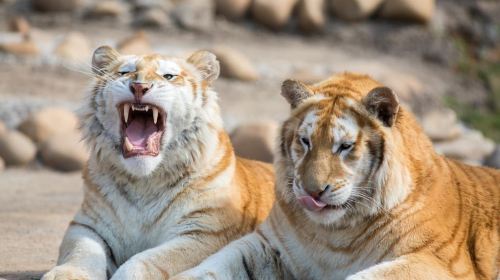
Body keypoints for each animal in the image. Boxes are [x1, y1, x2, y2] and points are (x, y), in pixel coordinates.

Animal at [42, 46, 278, 280]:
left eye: (168, 76)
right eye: (125, 72)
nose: (139, 86)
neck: (143, 182)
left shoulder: (205, 232)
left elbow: (147, 260)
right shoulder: (88, 225)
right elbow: (81, 252)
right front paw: (67, 275)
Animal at [173, 73, 500, 278]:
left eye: (344, 146)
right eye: (305, 141)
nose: (312, 192)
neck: (334, 236)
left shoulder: (434, 262)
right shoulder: (268, 246)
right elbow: (209, 266)